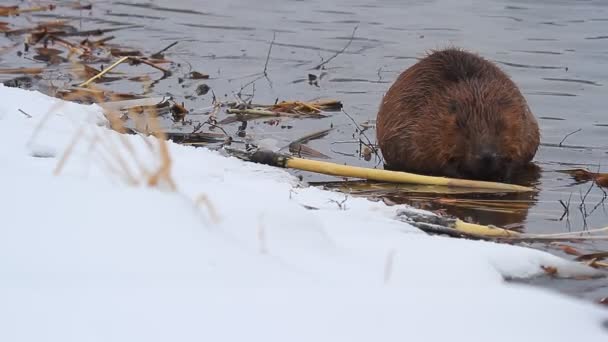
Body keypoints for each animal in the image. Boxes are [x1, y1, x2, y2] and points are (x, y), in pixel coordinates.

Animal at [376, 48, 540, 183]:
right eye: (463, 129)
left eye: (500, 126)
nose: (486, 157)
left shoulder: (520, 118)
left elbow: (519, 152)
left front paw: (504, 174)